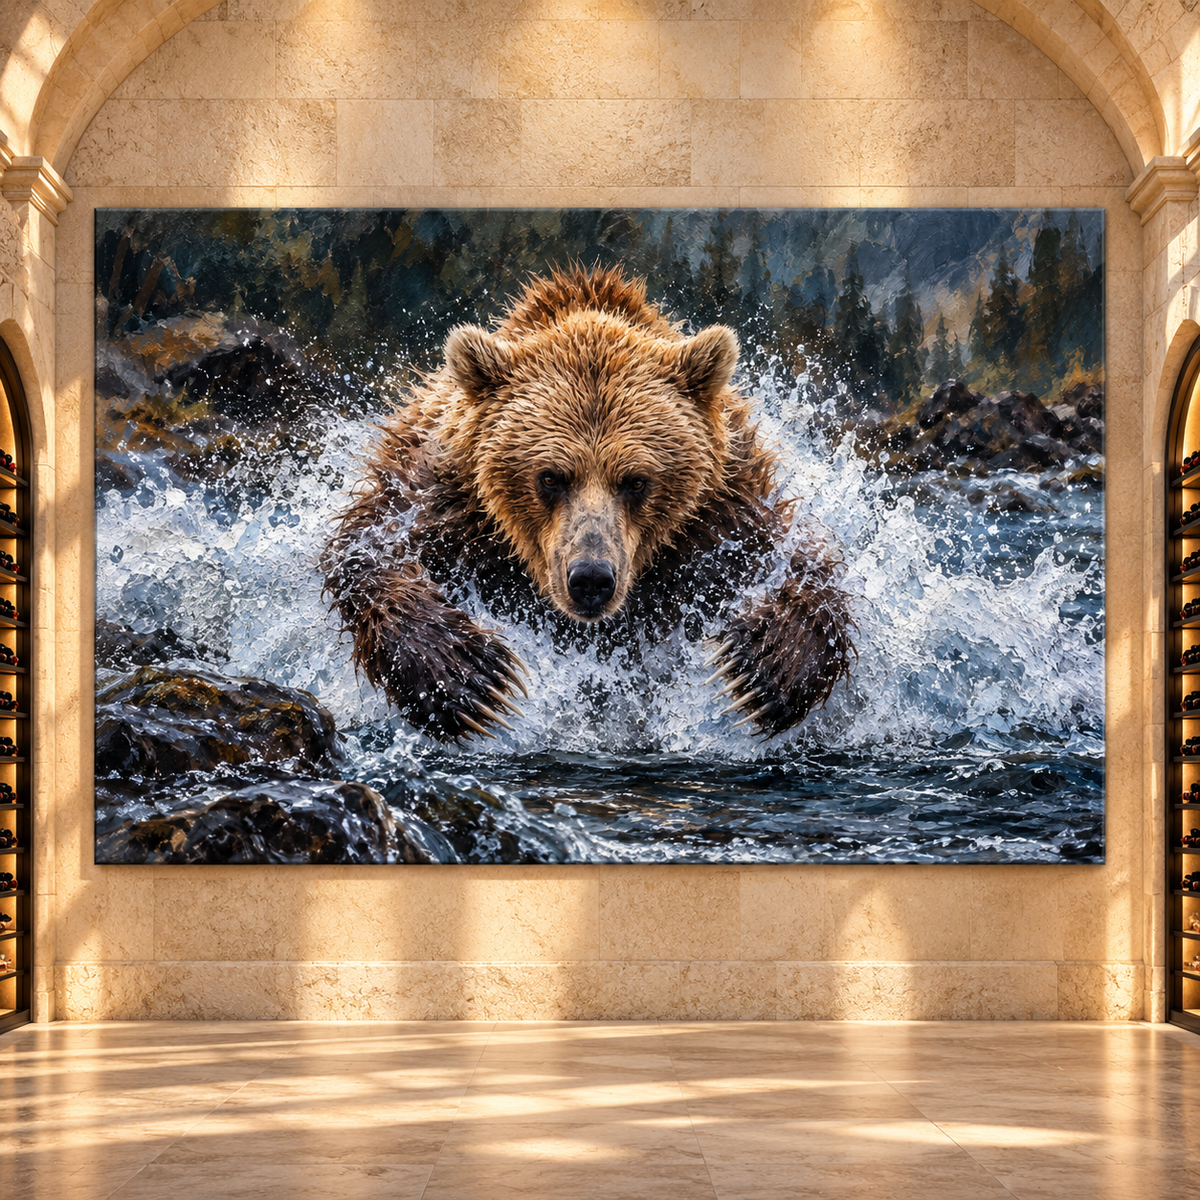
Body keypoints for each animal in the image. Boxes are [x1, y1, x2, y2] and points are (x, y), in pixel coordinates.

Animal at [322, 266, 854, 742]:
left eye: (636, 480)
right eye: (550, 477)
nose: (592, 578)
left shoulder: (724, 515)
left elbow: (804, 564)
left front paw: (762, 669)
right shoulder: (441, 499)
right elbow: (365, 551)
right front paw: (467, 675)